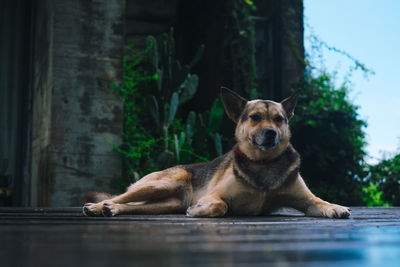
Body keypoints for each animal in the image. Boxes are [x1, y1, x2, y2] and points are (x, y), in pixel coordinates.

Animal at [83, 88, 352, 220]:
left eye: (279, 119)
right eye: (255, 117)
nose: (271, 133)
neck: (263, 164)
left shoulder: (306, 200)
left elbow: (320, 202)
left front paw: (335, 206)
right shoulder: (214, 195)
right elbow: (220, 206)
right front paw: (199, 211)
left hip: (165, 203)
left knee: (132, 206)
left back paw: (111, 209)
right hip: (163, 183)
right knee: (122, 197)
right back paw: (97, 207)